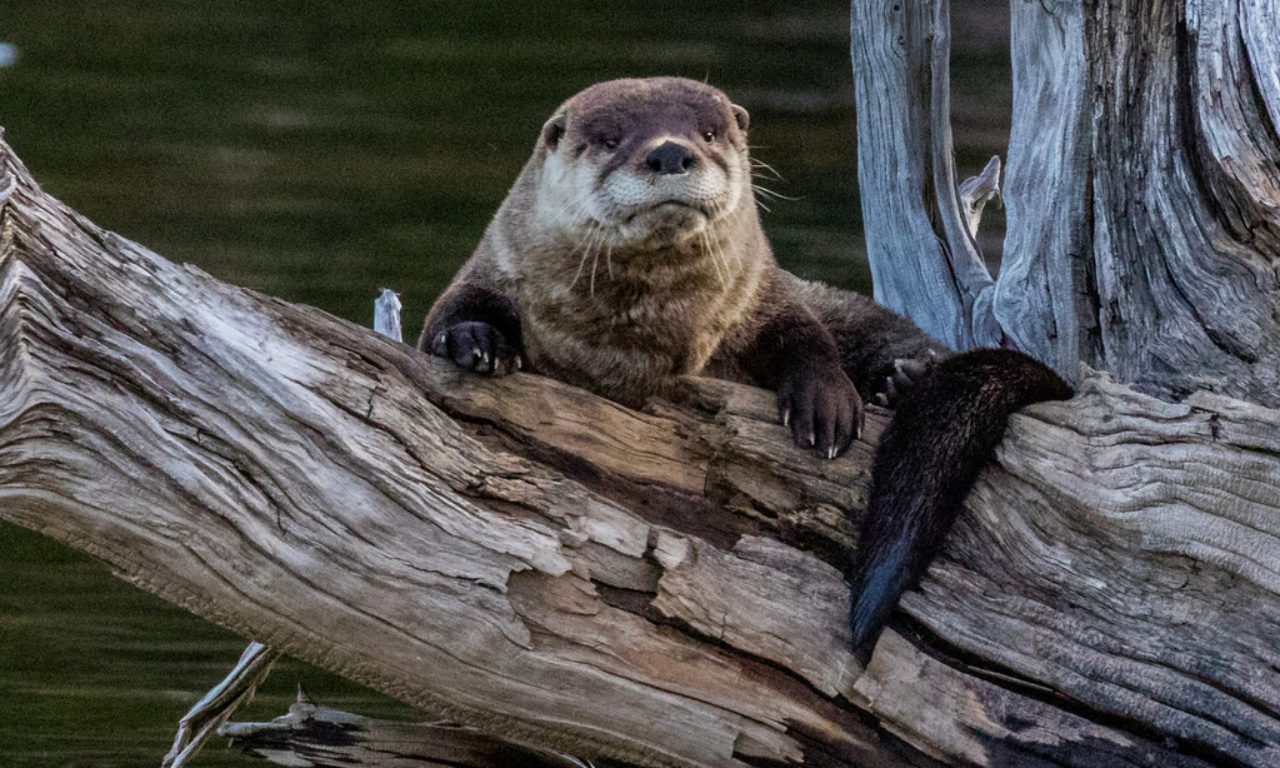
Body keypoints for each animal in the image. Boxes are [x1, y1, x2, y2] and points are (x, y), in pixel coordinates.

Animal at [419, 77, 1072, 655]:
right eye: (609, 138)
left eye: (709, 132)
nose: (671, 151)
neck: (639, 343)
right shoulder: (497, 264)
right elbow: (451, 313)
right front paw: (476, 340)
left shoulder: (760, 292)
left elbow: (802, 333)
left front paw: (825, 405)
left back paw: (902, 381)